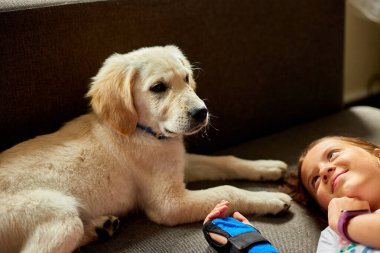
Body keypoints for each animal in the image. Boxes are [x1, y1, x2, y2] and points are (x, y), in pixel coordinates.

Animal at [0, 46, 290, 253]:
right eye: (158, 88)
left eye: (187, 78)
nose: (202, 112)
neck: (147, 132)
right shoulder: (169, 204)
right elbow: (227, 190)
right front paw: (271, 199)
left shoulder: (180, 161)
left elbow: (225, 161)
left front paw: (265, 166)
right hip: (60, 216)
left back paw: (100, 227)